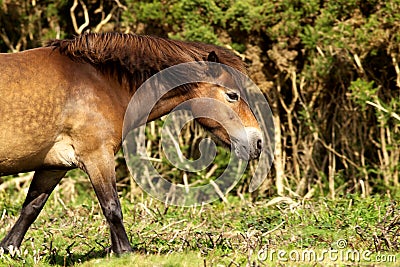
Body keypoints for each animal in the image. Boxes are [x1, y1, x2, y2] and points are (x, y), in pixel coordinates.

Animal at [0, 32, 262, 254]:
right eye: (232, 95)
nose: (258, 142)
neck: (99, 83)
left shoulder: (54, 165)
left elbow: (31, 207)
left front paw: (8, 249)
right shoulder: (97, 156)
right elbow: (112, 207)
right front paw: (124, 252)